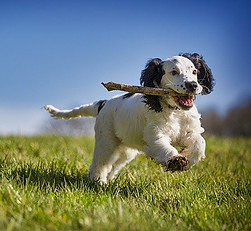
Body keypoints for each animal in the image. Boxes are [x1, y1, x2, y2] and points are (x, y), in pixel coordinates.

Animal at [45, 53, 214, 183]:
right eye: (174, 72)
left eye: (194, 71)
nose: (193, 85)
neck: (175, 111)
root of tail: (103, 103)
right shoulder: (155, 135)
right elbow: (164, 146)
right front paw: (175, 160)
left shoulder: (190, 131)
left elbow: (200, 143)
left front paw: (187, 158)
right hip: (106, 140)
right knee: (100, 163)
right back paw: (97, 182)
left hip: (126, 150)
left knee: (114, 165)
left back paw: (108, 181)